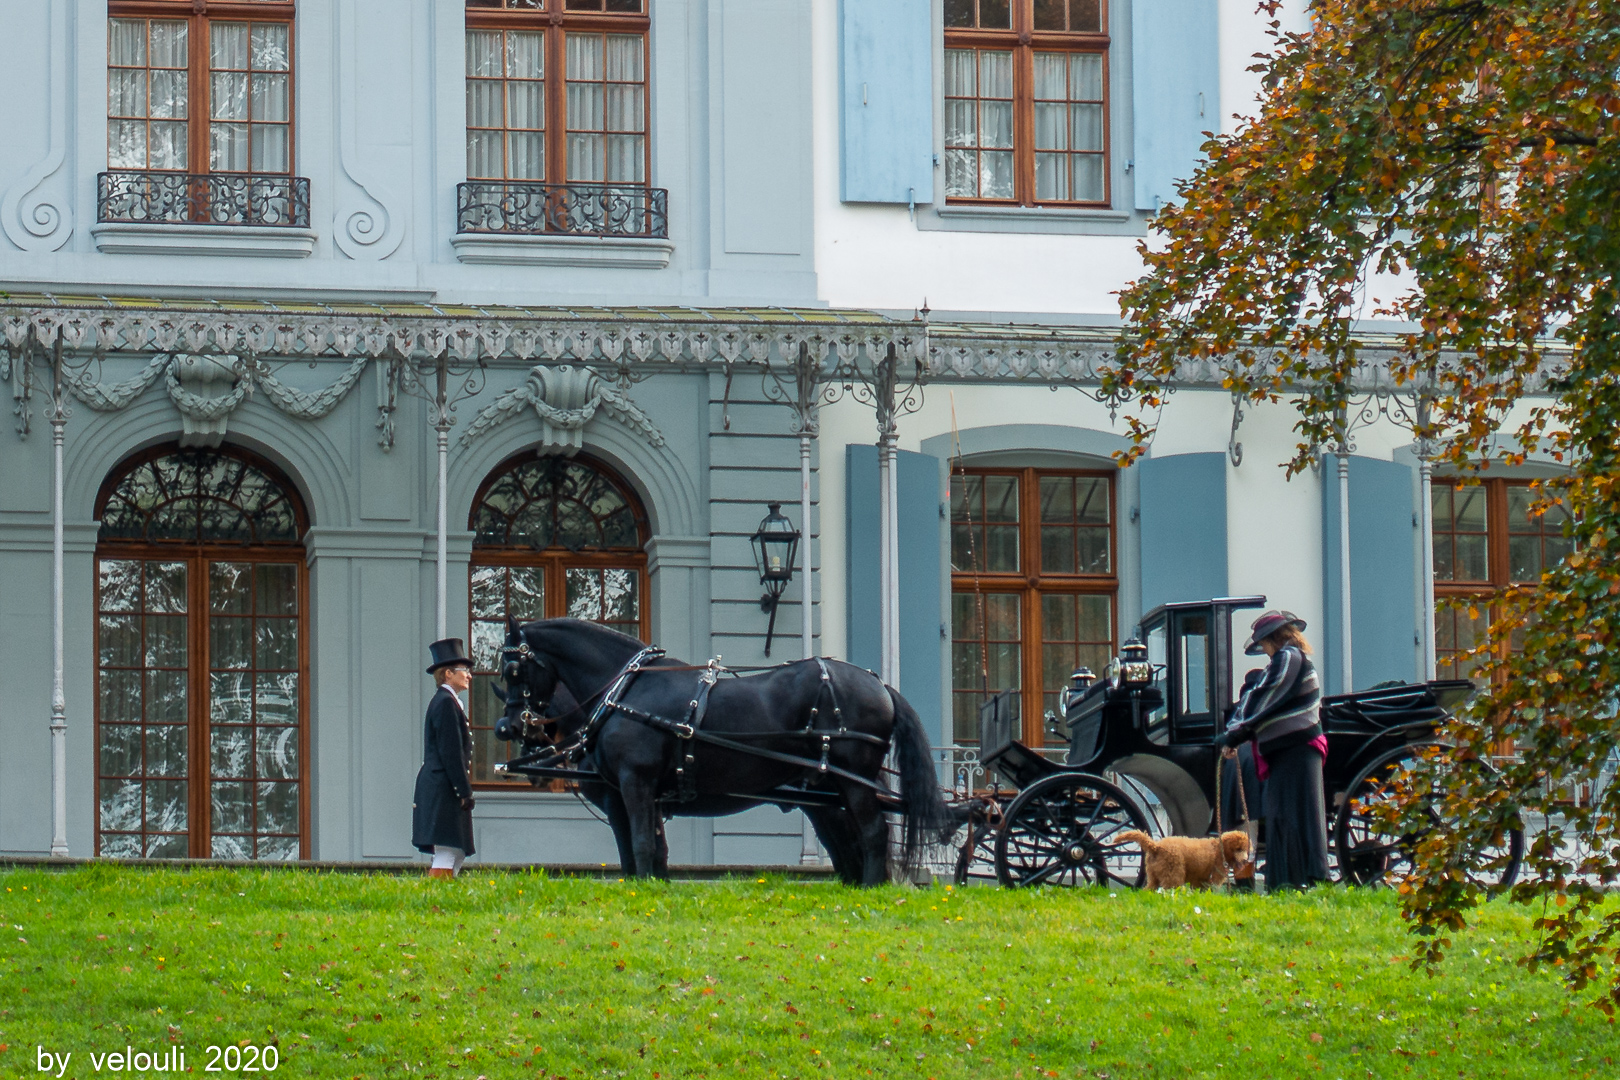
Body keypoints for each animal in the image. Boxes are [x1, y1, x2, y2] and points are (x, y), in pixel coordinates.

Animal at [486, 621, 952, 880]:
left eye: (512, 668)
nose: (507, 727)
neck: (627, 692)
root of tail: (879, 685)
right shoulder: (642, 794)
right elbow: (647, 850)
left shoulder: (635, 784)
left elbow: (640, 844)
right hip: (832, 791)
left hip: (850, 782)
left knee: (873, 834)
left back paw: (872, 888)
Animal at [1121, 835, 1257, 893]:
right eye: (1238, 849)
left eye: (1245, 849)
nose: (1245, 860)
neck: (1218, 848)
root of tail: (1156, 847)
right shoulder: (1216, 873)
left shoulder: (1200, 879)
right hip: (1173, 872)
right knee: (1171, 888)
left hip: (1154, 874)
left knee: (1149, 888)